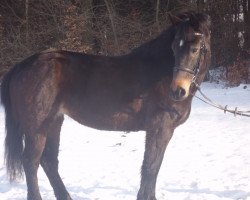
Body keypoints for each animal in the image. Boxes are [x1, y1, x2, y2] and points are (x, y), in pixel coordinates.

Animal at [0, 12, 211, 200]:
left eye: (195, 49)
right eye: (174, 47)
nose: (177, 91)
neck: (159, 75)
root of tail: (22, 66)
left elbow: (154, 167)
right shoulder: (160, 128)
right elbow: (150, 168)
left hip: (53, 122)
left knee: (48, 161)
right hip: (36, 127)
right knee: (31, 162)